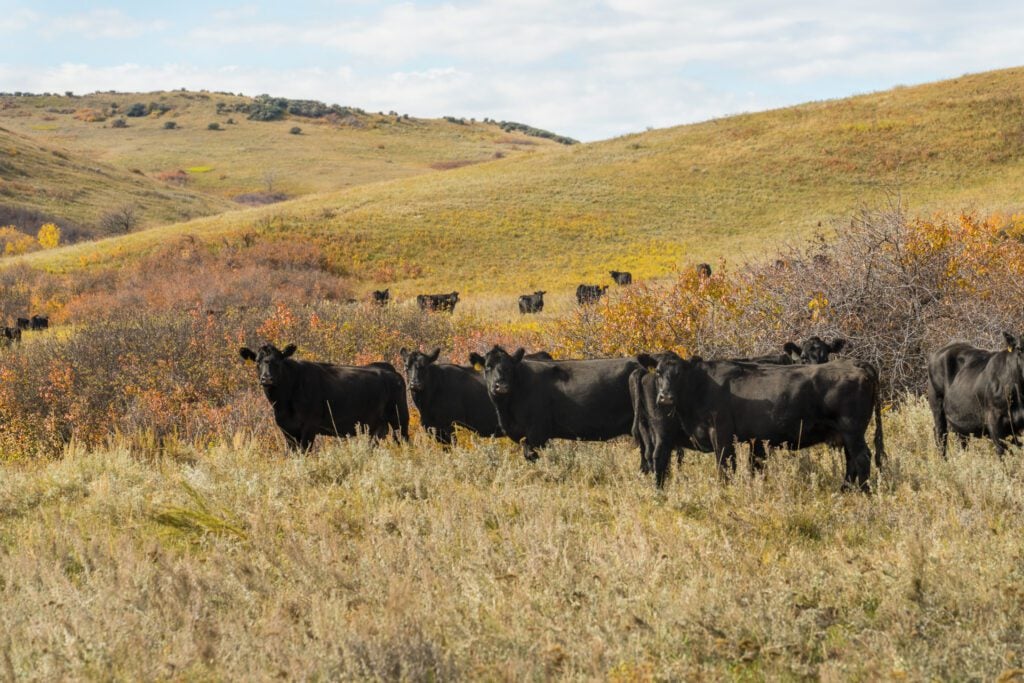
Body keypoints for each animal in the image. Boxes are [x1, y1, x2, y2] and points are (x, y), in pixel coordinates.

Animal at [239, 343, 409, 451]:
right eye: (257, 361)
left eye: (278, 361)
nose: (267, 378)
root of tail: (391, 371)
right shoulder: (286, 429)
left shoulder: (309, 426)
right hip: (376, 426)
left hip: (400, 418)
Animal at [636, 351, 884, 491]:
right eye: (658, 372)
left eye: (678, 373)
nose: (665, 397)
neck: (701, 385)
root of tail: (855, 364)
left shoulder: (722, 436)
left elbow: (725, 468)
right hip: (848, 435)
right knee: (852, 461)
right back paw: (845, 490)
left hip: (852, 430)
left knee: (862, 458)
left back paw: (864, 493)